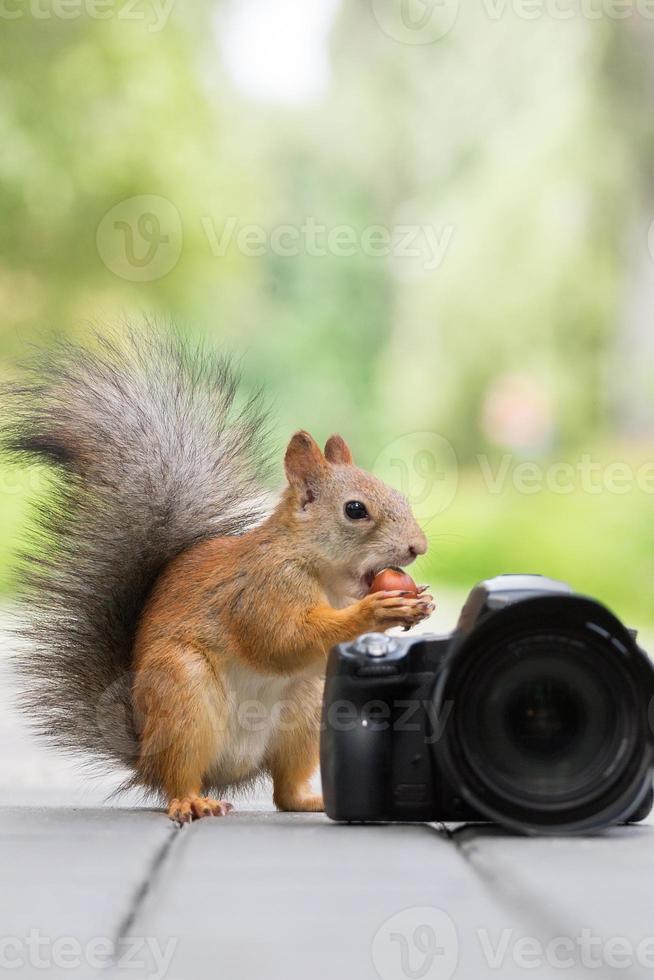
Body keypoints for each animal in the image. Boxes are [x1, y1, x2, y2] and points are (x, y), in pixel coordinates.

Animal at [6, 330, 436, 820]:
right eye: (355, 510)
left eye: (398, 494)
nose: (418, 547)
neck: (322, 575)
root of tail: (145, 753)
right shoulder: (263, 589)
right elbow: (281, 639)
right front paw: (378, 610)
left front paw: (420, 605)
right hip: (183, 696)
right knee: (179, 775)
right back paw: (190, 800)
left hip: (307, 708)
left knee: (284, 790)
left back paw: (311, 800)